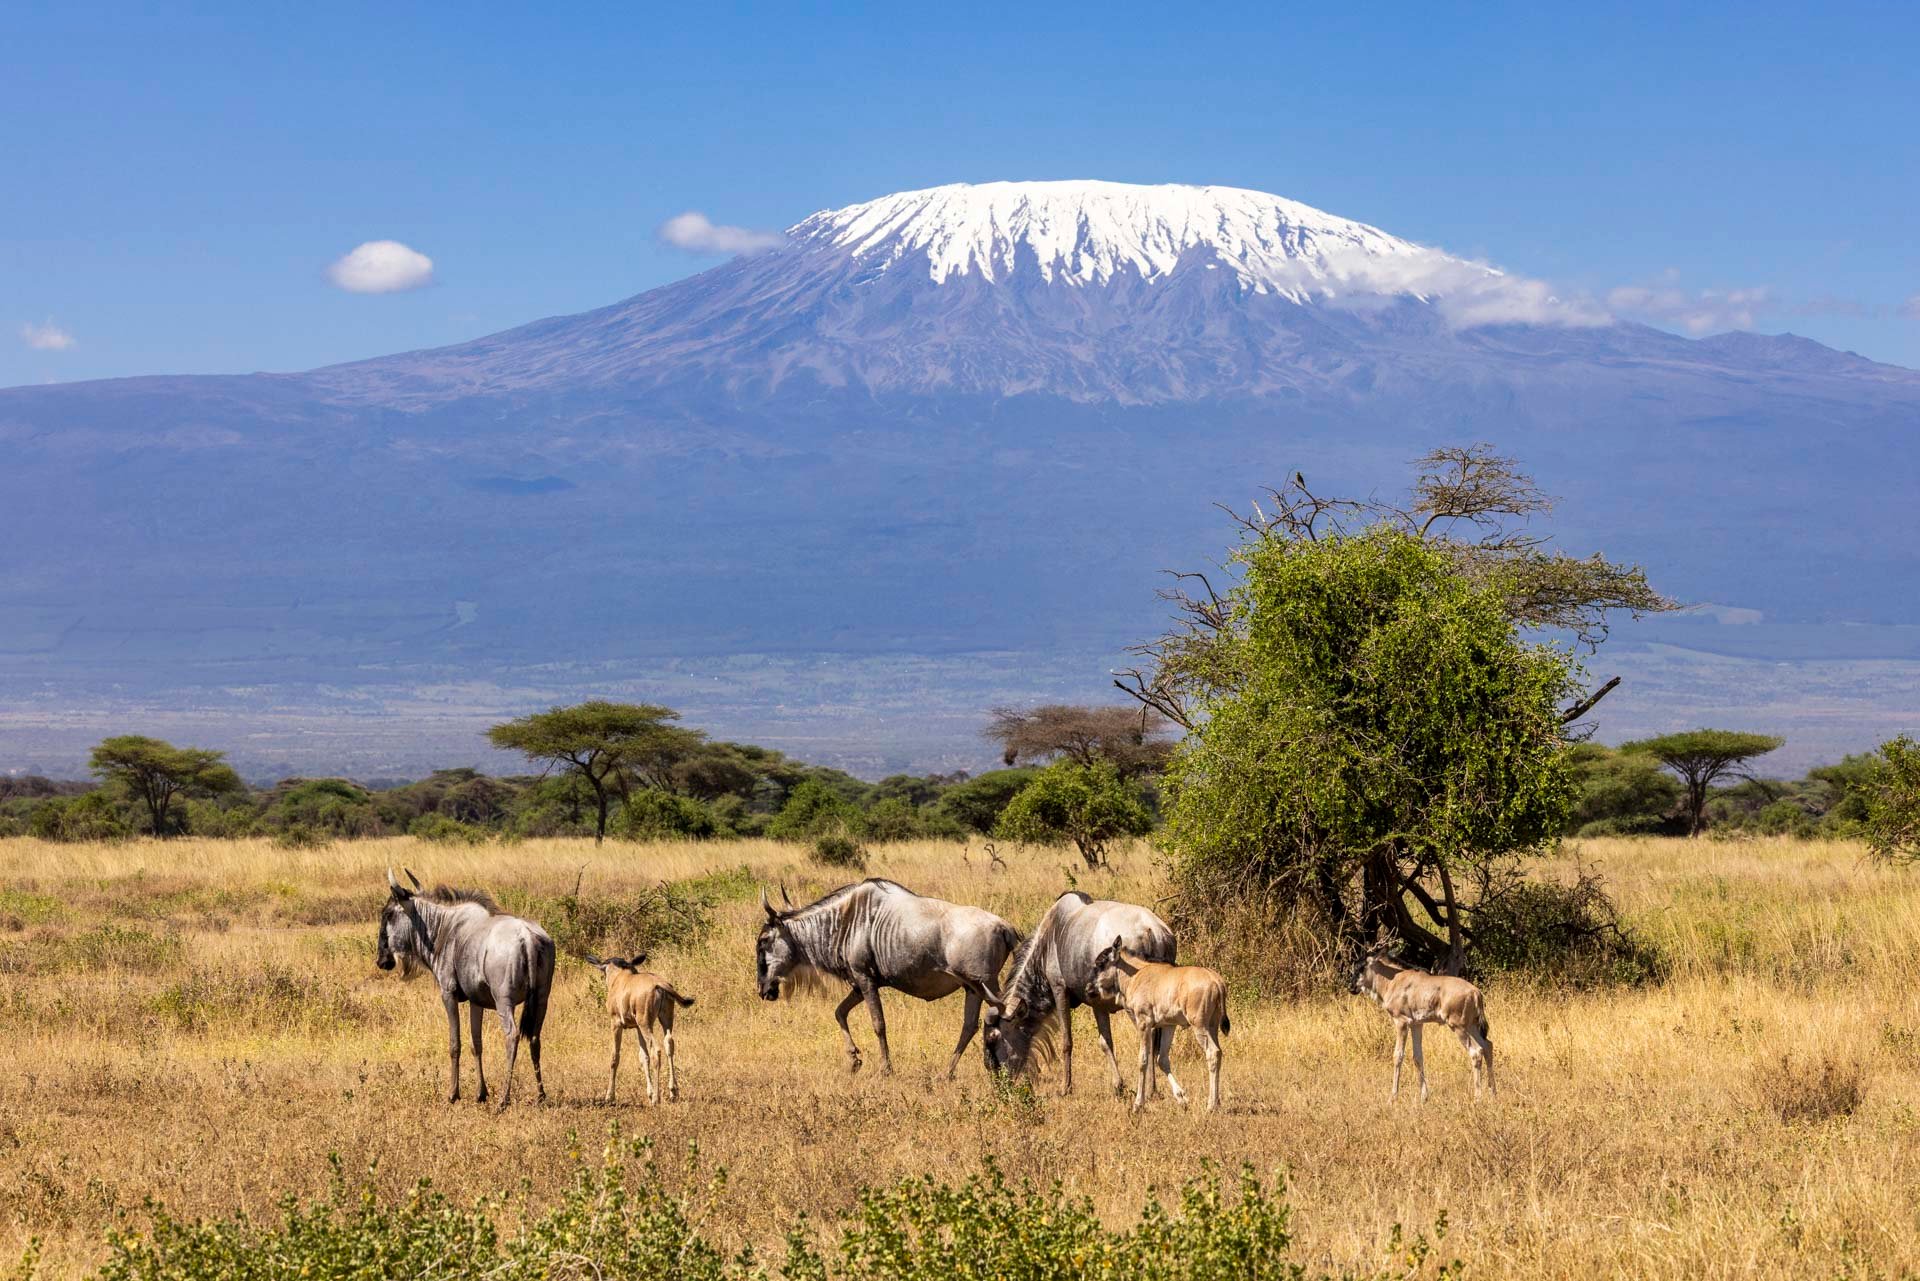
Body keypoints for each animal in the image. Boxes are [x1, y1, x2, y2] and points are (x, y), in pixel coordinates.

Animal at [587, 952, 702, 1106]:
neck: (619, 976)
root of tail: (660, 985)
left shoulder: (616, 1023)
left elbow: (615, 1057)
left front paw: (609, 1097)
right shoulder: (636, 1027)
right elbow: (643, 1057)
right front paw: (649, 1093)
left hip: (645, 1023)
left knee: (656, 1049)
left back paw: (656, 1099)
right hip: (665, 1019)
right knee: (669, 1043)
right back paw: (673, 1091)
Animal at [1344, 941, 1489, 1106]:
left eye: (1362, 967)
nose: (1351, 987)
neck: (1394, 980)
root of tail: (1475, 993)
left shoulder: (1401, 1022)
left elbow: (1398, 1056)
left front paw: (1392, 1098)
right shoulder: (1416, 1024)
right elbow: (1418, 1057)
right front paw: (1424, 1097)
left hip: (1459, 1027)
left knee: (1476, 1052)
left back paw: (1478, 1099)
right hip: (1472, 1026)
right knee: (1487, 1047)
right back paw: (1493, 1094)